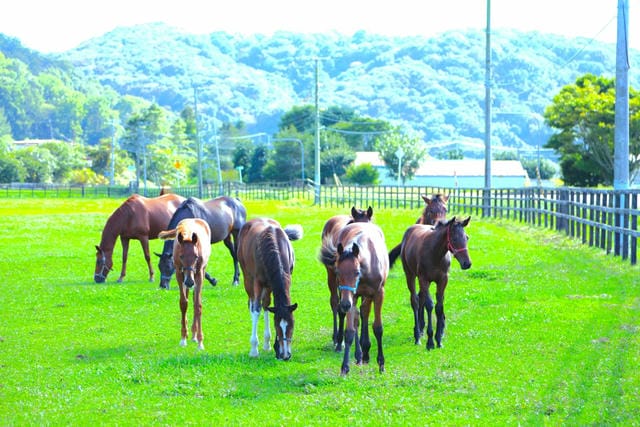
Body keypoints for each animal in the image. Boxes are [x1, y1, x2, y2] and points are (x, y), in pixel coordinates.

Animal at [158, 217, 212, 352]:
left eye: (196, 256)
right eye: (181, 256)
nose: (189, 282)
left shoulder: (198, 274)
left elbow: (198, 305)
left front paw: (200, 341)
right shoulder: (179, 273)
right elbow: (183, 303)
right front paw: (183, 338)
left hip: (200, 273)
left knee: (193, 299)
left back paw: (194, 335)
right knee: (187, 297)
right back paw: (189, 334)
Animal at [238, 217, 302, 362]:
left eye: (292, 324)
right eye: (277, 326)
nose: (286, 355)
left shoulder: (286, 277)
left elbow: (271, 308)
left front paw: (276, 348)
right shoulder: (257, 282)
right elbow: (256, 310)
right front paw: (254, 349)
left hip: (268, 286)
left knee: (266, 305)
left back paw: (267, 343)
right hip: (248, 279)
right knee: (253, 304)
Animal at [320, 206, 376, 352]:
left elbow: (360, 312)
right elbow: (343, 309)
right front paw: (340, 342)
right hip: (331, 276)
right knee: (334, 303)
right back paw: (336, 338)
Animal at [320, 222, 390, 376]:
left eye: (357, 272)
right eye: (338, 272)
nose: (345, 304)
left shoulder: (378, 293)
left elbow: (378, 328)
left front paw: (381, 363)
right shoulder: (353, 295)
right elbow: (350, 331)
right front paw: (345, 367)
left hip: (367, 295)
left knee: (364, 312)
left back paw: (365, 352)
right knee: (357, 316)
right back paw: (360, 354)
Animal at [388, 217, 472, 352]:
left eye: (467, 237)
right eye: (454, 239)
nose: (467, 263)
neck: (435, 253)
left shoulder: (443, 280)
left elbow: (439, 306)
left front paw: (438, 339)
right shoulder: (424, 279)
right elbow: (429, 305)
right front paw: (430, 342)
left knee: (420, 297)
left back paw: (422, 328)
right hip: (410, 275)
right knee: (415, 300)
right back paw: (417, 335)